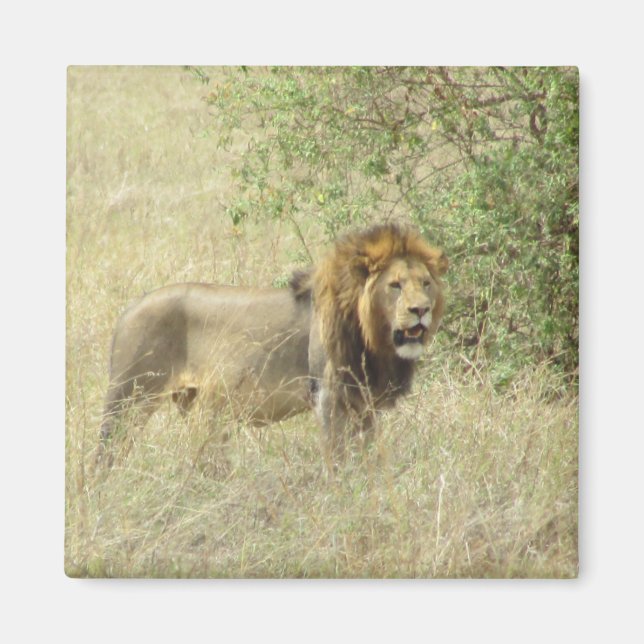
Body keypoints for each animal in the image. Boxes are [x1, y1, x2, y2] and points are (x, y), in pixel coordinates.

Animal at [98, 223, 447, 466]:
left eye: (425, 283)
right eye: (395, 285)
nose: (420, 310)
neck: (372, 334)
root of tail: (129, 310)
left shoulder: (363, 402)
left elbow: (368, 452)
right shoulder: (327, 394)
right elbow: (337, 455)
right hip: (129, 399)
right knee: (105, 456)